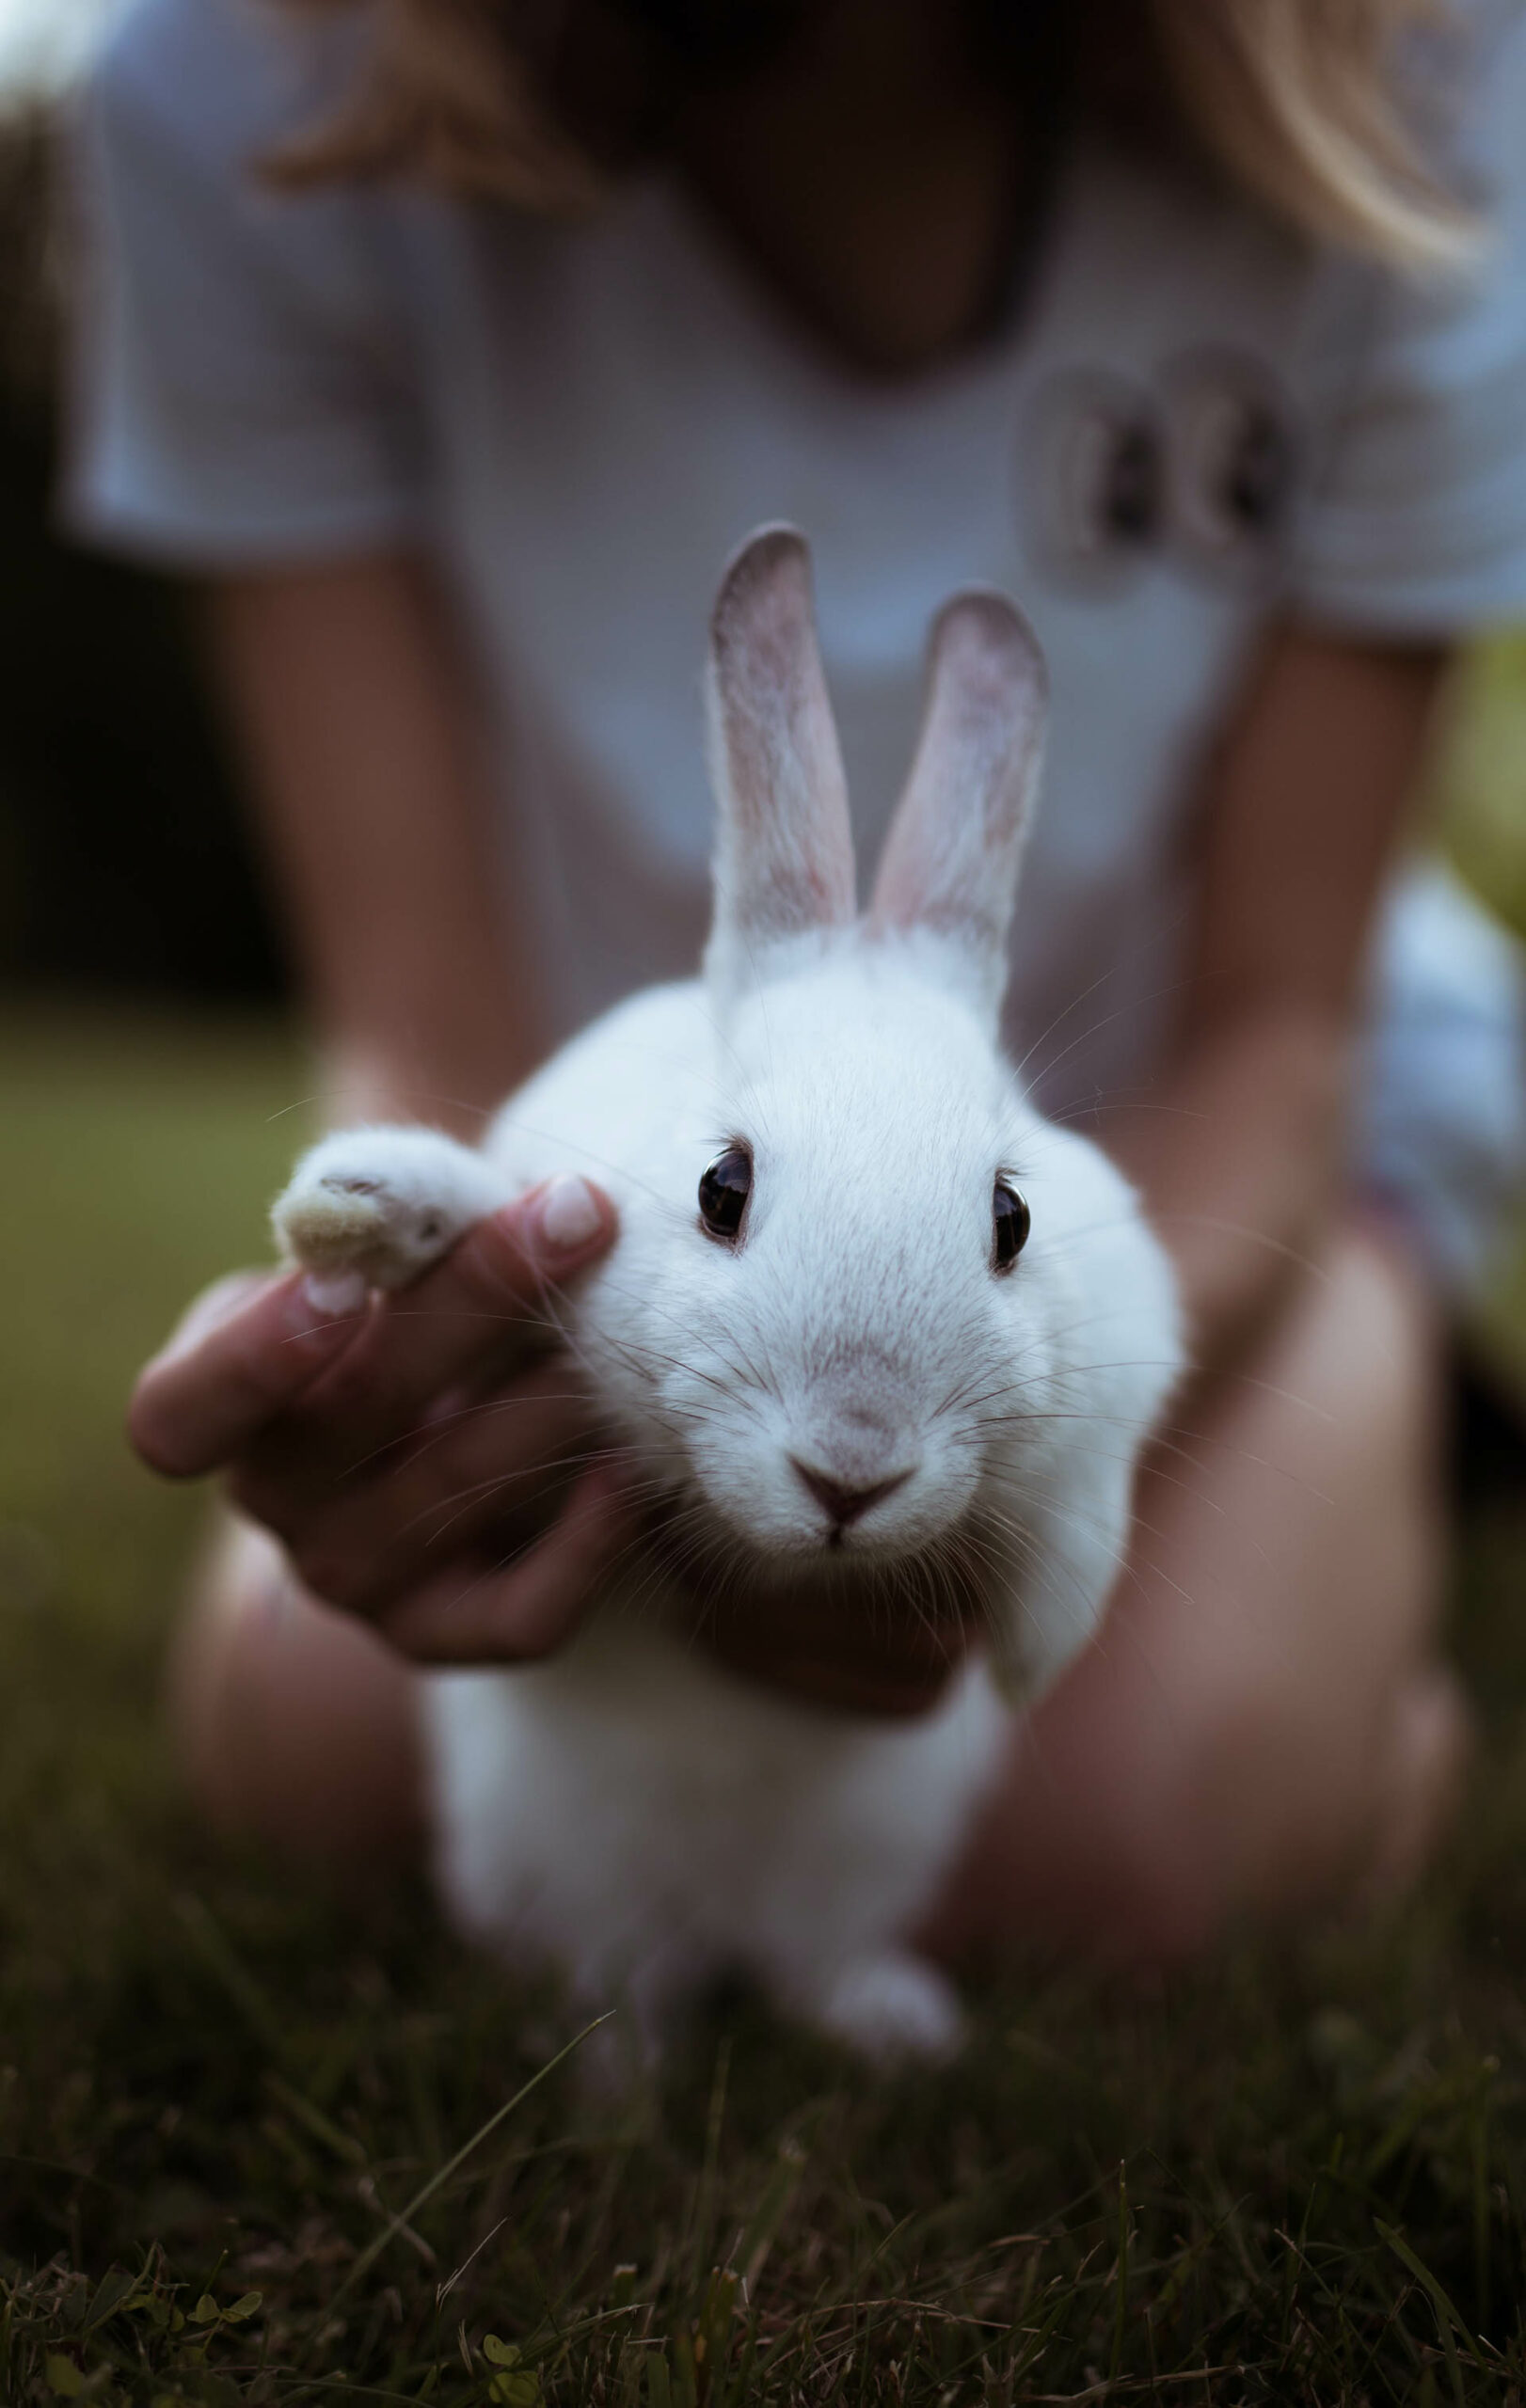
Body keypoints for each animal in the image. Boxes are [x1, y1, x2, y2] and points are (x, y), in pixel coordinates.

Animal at [270, 522, 1174, 2052]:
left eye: (1008, 1218)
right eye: (719, 1190)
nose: (850, 1469)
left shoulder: (1119, 1359)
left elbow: (1080, 1519)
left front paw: (1032, 1655)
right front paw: (362, 1209)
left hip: (865, 1856)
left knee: (808, 1957)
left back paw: (893, 2031)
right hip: (568, 1861)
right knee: (616, 1971)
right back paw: (619, 2071)